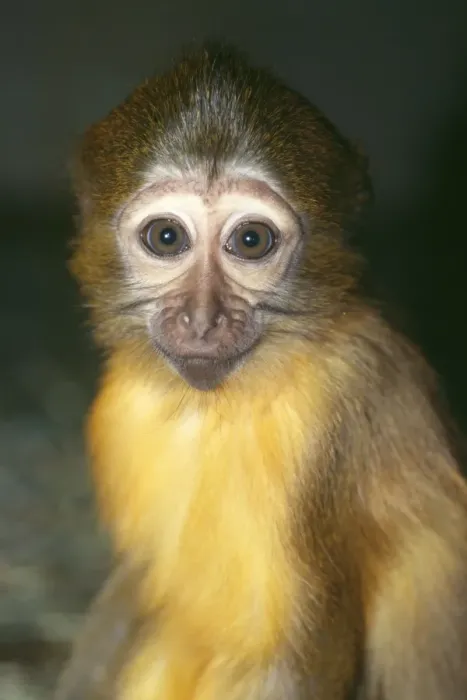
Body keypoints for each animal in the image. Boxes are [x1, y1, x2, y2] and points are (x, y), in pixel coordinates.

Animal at [54, 42, 467, 700]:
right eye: (166, 237)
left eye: (251, 241)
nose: (202, 319)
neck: (223, 400)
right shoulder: (120, 405)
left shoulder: (343, 408)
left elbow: (302, 659)